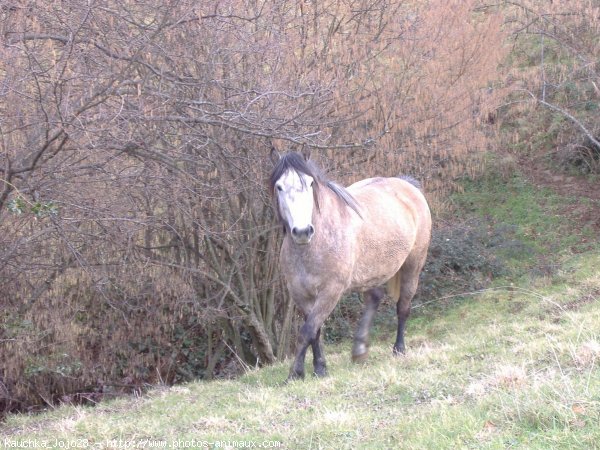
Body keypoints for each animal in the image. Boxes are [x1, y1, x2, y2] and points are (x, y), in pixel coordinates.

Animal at [270, 151, 432, 380]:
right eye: (279, 187)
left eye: (310, 183)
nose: (302, 231)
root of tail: (408, 186)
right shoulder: (301, 294)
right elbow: (315, 332)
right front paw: (320, 369)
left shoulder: (330, 291)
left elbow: (307, 332)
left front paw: (295, 374)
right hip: (372, 272)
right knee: (375, 298)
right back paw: (359, 350)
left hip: (412, 267)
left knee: (403, 307)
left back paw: (399, 349)